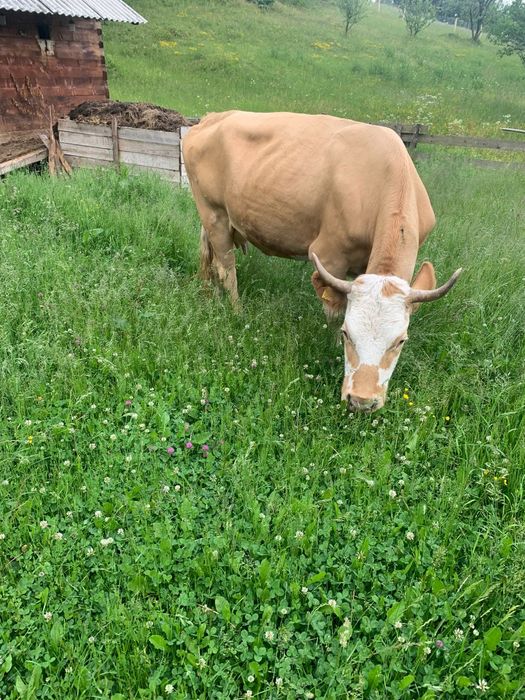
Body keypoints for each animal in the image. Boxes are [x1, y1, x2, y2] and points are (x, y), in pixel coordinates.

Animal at [182, 110, 462, 412]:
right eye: (347, 333)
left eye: (400, 340)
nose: (362, 401)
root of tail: (213, 117)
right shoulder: (329, 256)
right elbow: (333, 310)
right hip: (214, 213)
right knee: (226, 268)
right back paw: (236, 311)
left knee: (209, 259)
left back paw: (207, 295)